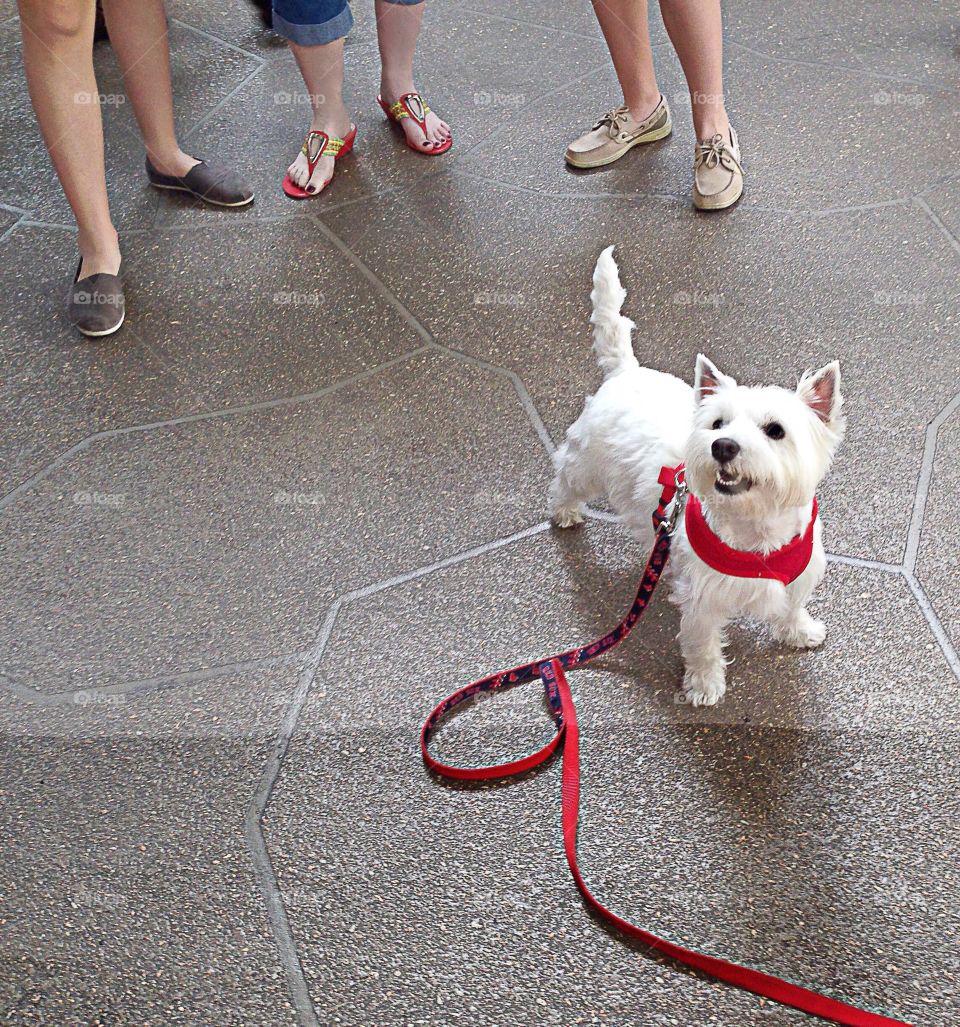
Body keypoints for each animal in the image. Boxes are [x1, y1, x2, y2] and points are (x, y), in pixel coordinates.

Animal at [550, 248, 846, 706]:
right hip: (588, 465)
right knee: (565, 473)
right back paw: (564, 511)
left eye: (775, 430)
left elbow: (794, 605)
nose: (722, 446)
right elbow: (704, 644)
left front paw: (799, 632)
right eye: (717, 423)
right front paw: (705, 686)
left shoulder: (799, 573)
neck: (756, 530)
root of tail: (626, 371)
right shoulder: (703, 598)